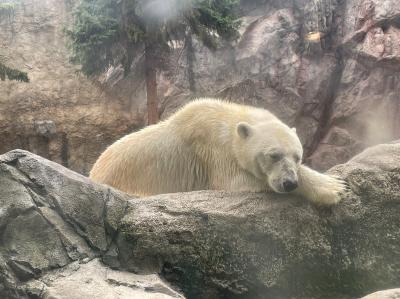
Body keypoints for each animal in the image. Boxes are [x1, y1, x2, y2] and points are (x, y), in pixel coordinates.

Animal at [89, 98, 346, 206]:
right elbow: (238, 180)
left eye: (297, 157)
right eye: (274, 155)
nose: (289, 183)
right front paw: (334, 187)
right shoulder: (212, 153)